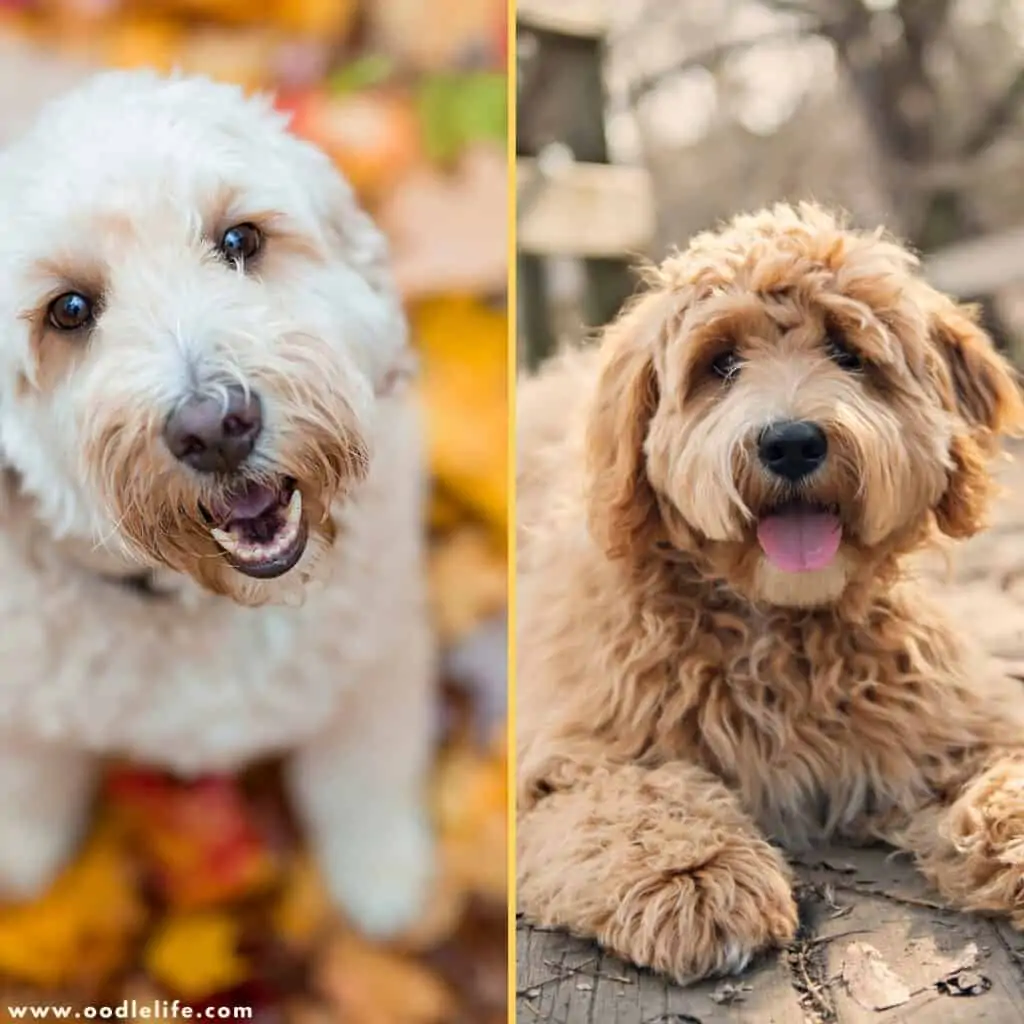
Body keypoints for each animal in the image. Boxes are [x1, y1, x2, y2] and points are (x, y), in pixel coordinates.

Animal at [0, 70, 434, 937]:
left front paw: (382, 875)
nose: (214, 427)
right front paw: (21, 852)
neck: (208, 608)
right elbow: (28, 771)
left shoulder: (380, 661)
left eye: (239, 241)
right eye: (69, 310)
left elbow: (362, 776)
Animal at [516, 201, 1024, 983]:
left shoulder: (951, 722)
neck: (777, 622)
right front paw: (696, 876)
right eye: (720, 362)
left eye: (848, 351)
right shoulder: (566, 751)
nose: (790, 442)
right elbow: (633, 795)